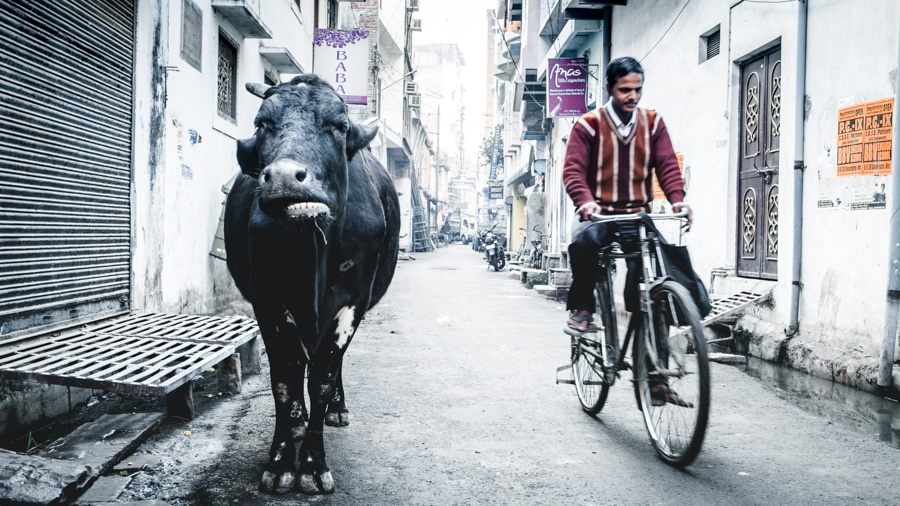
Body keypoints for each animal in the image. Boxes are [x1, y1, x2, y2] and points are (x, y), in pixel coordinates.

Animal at [223, 75, 400, 494]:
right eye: (262, 123)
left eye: (340, 126)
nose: (285, 177)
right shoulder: (268, 301)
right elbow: (284, 379)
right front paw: (280, 460)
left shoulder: (352, 302)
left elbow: (322, 378)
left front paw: (314, 465)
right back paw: (300, 419)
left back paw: (337, 409)